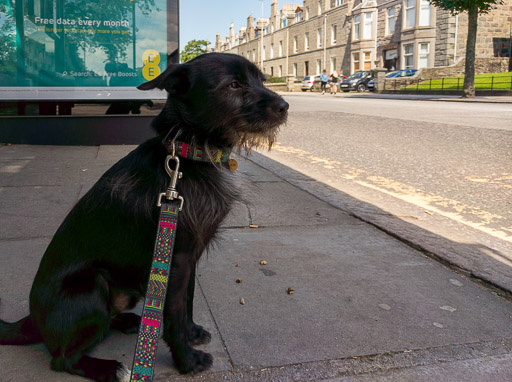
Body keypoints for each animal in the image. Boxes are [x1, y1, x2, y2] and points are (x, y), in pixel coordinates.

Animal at [0, 53, 288, 382]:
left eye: (261, 80)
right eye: (234, 85)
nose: (285, 106)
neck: (188, 155)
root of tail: (31, 320)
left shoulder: (187, 258)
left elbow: (187, 302)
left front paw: (191, 333)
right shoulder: (176, 260)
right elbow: (173, 312)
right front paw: (186, 360)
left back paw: (125, 322)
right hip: (91, 284)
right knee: (63, 360)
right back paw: (108, 368)